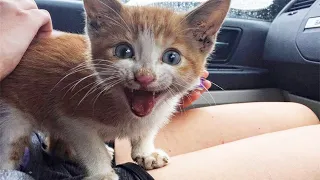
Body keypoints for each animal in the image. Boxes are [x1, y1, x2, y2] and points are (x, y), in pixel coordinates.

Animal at [0, 0, 230, 178]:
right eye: (123, 51)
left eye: (172, 57)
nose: (144, 76)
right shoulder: (71, 113)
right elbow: (90, 145)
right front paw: (102, 173)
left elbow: (146, 129)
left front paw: (146, 152)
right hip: (13, 115)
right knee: (11, 146)